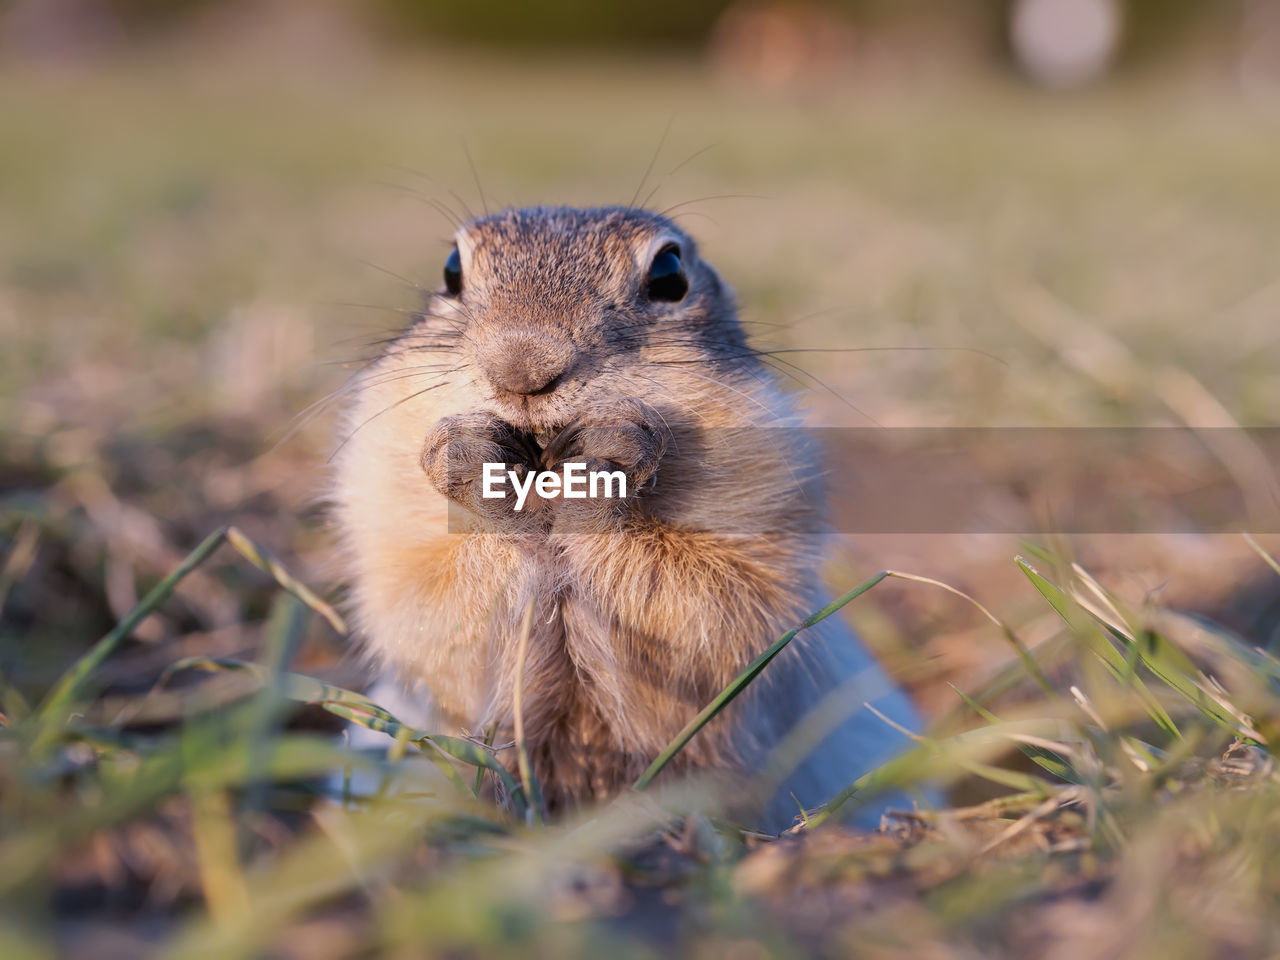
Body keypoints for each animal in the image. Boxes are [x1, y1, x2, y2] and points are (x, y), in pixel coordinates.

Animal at [335, 204, 926, 834]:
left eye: (670, 273)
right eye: (451, 270)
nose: (521, 366)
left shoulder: (769, 516)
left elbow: (707, 615)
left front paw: (605, 453)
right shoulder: (387, 524)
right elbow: (434, 617)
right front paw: (472, 458)